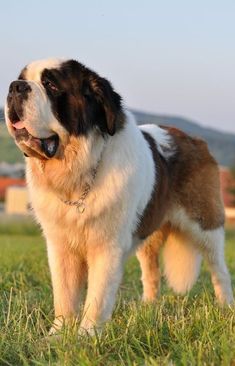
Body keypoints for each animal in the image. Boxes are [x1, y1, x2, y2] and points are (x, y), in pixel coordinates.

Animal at [5, 58, 233, 334]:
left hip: (204, 223)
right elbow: (64, 294)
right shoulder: (60, 246)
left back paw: (226, 306)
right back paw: (148, 308)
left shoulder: (107, 247)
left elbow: (97, 296)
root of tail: (194, 139)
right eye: (22, 78)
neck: (78, 175)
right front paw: (58, 335)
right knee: (151, 272)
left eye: (50, 85)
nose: (15, 87)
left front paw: (87, 335)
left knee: (218, 267)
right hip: (147, 230)